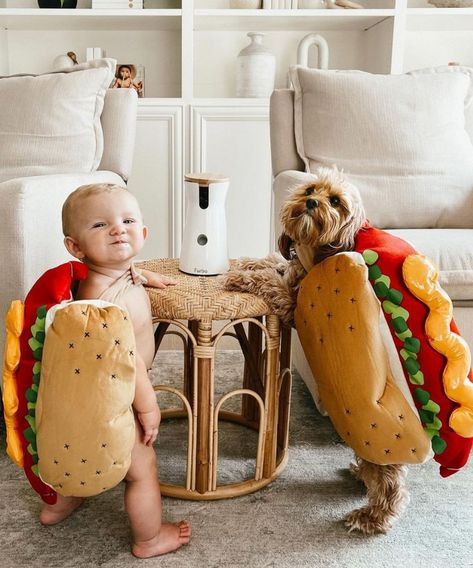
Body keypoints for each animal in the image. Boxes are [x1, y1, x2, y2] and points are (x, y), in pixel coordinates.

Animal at [223, 166, 408, 536]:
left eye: (334, 201)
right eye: (310, 189)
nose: (310, 203)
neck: (313, 252)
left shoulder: (288, 303)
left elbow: (268, 280)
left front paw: (239, 276)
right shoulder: (288, 269)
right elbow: (270, 262)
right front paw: (246, 262)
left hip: (377, 442)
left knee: (391, 484)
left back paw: (372, 517)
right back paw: (359, 474)